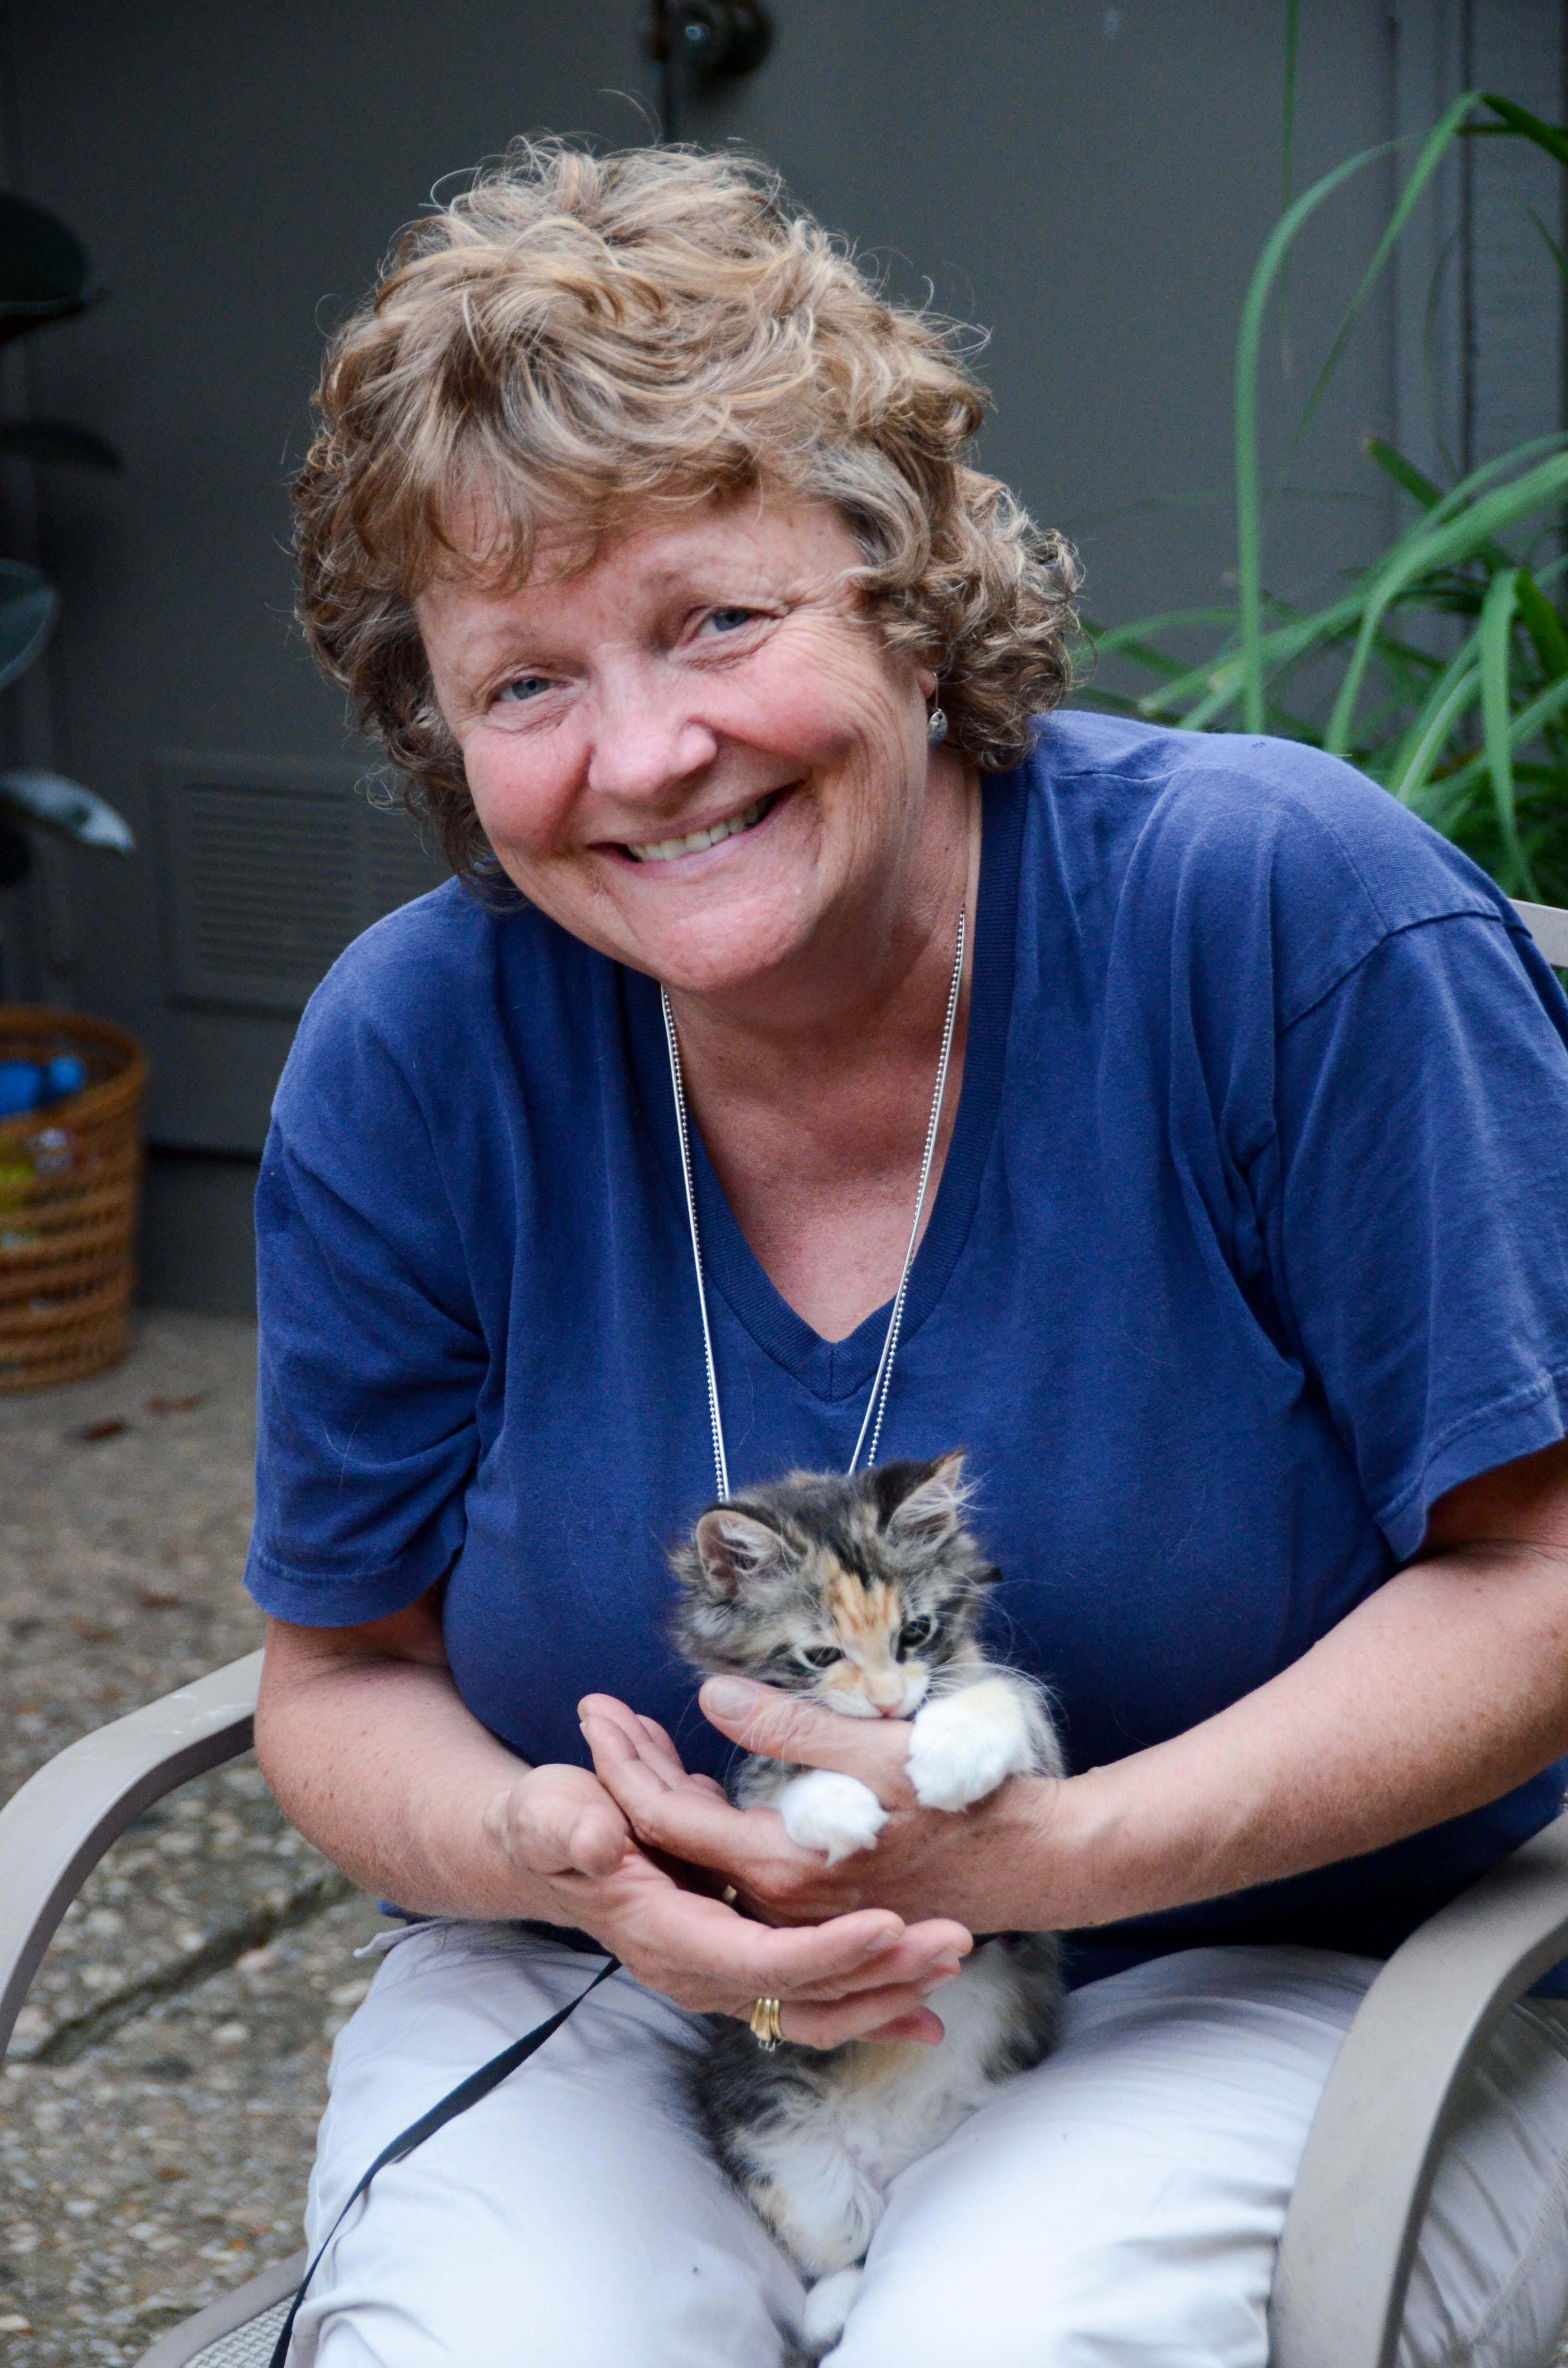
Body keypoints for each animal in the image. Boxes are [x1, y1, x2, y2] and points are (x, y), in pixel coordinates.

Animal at [668, 1449, 1061, 2358]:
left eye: (914, 1632)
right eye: (819, 1654)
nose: (887, 1704)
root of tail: (893, 2149)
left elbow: (1005, 1693)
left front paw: (954, 1746)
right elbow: (777, 1788)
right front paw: (834, 1803)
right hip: (774, 2134)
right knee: (841, 2240)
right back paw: (829, 2308)